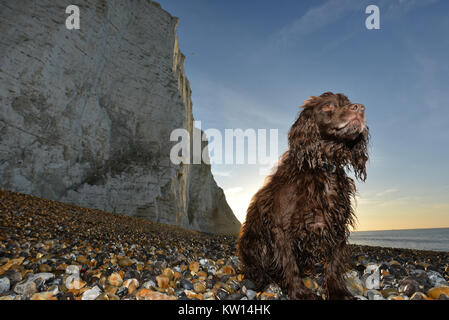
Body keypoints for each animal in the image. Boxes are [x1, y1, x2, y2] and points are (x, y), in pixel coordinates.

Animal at [236, 91, 366, 298]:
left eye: (349, 102)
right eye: (327, 106)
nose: (360, 108)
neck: (323, 169)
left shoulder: (337, 224)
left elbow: (334, 263)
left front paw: (337, 290)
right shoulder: (281, 227)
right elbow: (289, 264)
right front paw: (299, 291)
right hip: (253, 243)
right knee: (257, 269)